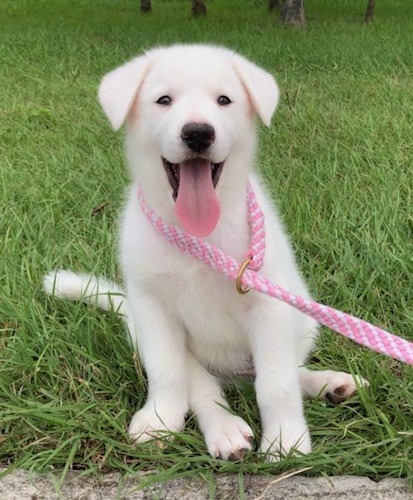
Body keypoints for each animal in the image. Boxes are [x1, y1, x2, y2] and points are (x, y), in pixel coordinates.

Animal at [44, 44, 364, 460]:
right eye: (164, 100)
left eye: (223, 100)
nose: (198, 132)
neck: (199, 236)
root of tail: (233, 374)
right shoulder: (153, 309)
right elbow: (168, 372)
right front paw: (160, 418)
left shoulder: (269, 307)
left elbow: (276, 382)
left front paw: (285, 439)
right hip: (148, 331)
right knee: (203, 387)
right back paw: (225, 430)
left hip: (302, 320)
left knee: (278, 373)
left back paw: (328, 383)